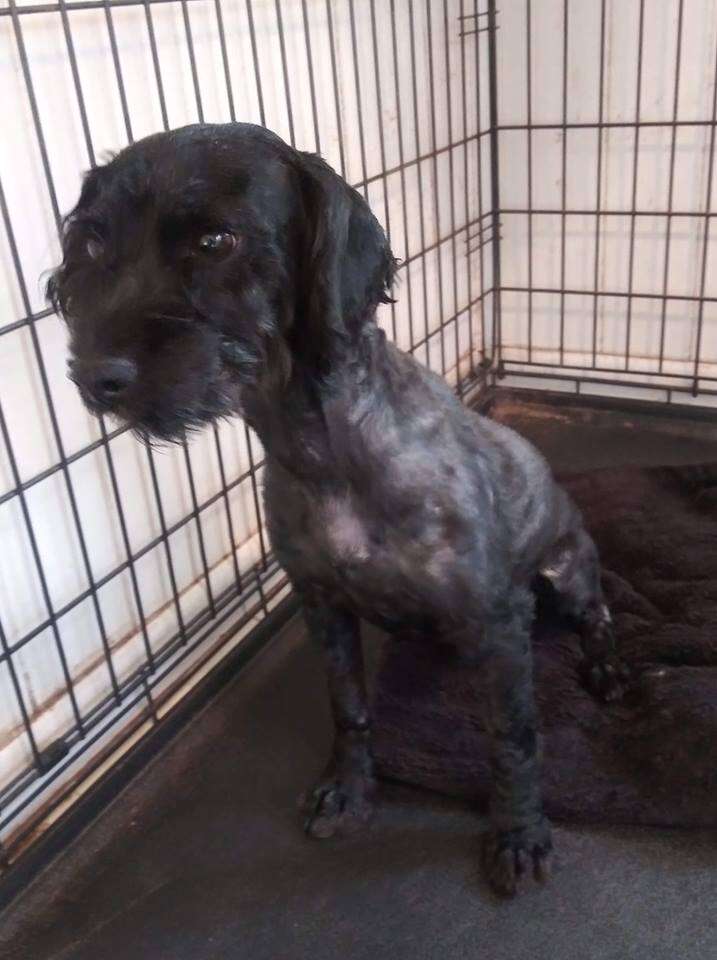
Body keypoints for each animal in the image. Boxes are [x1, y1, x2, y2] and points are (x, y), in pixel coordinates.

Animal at [47, 124, 624, 896]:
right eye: (90, 242)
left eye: (217, 240)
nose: (94, 377)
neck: (324, 451)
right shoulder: (322, 606)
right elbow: (348, 708)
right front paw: (349, 791)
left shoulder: (497, 623)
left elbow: (513, 738)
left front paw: (518, 831)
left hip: (568, 574)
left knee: (599, 614)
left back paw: (606, 667)